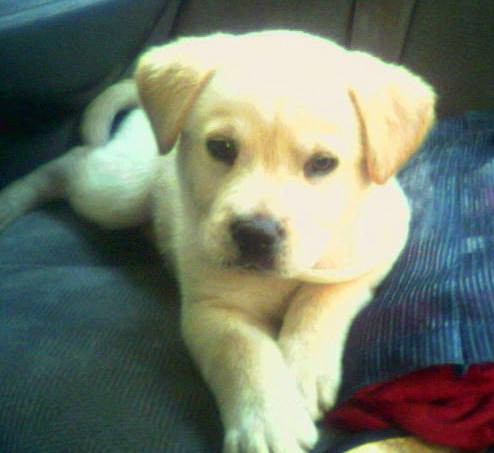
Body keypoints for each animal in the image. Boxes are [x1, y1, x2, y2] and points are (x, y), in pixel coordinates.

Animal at [0, 30, 436, 452]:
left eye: (323, 163)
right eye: (221, 148)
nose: (256, 234)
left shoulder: (375, 250)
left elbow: (322, 299)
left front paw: (302, 371)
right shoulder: (211, 308)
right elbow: (243, 350)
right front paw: (268, 419)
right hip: (116, 193)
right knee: (71, 162)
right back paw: (11, 200)